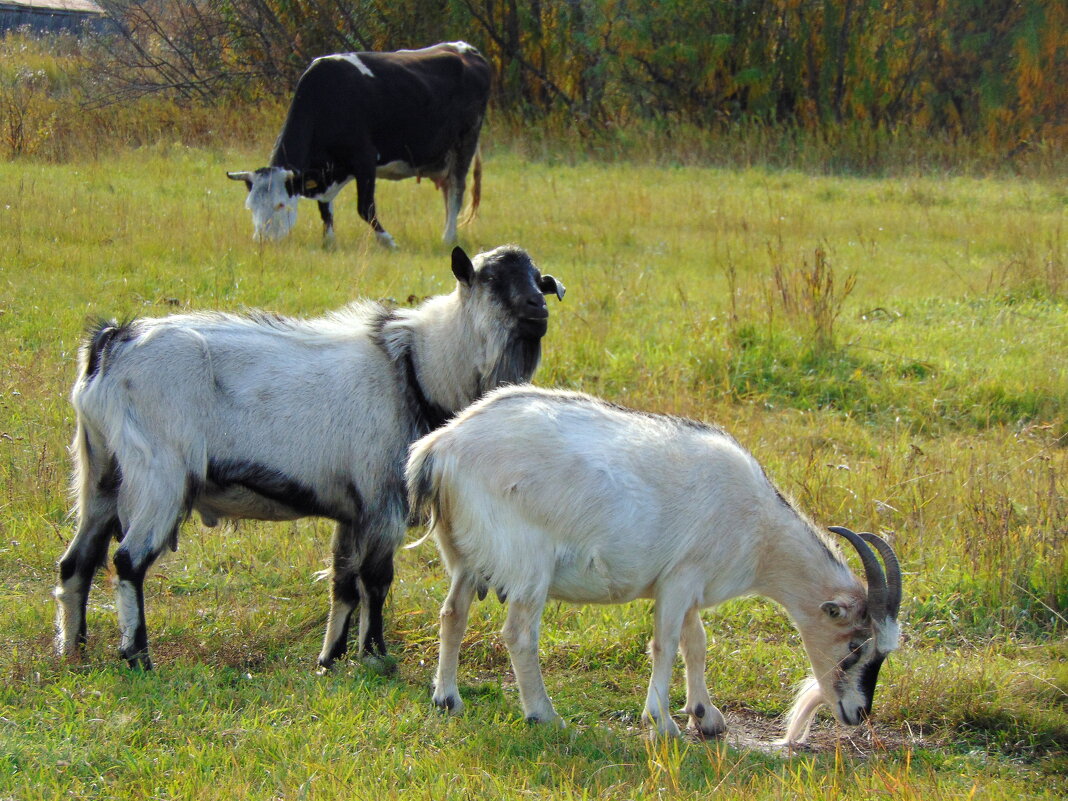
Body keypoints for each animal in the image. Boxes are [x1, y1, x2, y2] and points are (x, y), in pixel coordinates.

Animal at [52, 246, 568, 670]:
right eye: (490, 280)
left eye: (537, 279)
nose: (537, 308)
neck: (416, 367)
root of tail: (111, 342)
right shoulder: (383, 500)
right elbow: (376, 580)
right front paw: (374, 656)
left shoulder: (353, 509)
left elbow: (342, 581)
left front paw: (330, 658)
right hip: (158, 474)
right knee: (127, 560)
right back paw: (137, 655)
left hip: (100, 472)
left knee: (77, 562)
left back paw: (73, 650)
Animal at [229, 40, 491, 246]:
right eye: (250, 207)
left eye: (281, 205)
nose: (263, 241)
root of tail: (467, 50)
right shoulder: (325, 171)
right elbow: (325, 208)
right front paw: (329, 241)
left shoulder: (364, 159)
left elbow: (365, 207)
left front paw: (388, 241)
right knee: (448, 191)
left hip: (465, 142)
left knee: (456, 189)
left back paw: (448, 238)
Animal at [405, 386, 901, 743]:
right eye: (855, 646)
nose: (858, 713)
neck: (760, 529)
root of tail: (441, 447)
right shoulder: (680, 578)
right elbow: (665, 644)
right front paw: (662, 722)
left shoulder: (688, 584)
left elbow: (696, 642)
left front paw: (706, 716)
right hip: (528, 563)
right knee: (519, 635)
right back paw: (544, 716)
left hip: (465, 555)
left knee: (452, 614)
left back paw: (447, 699)